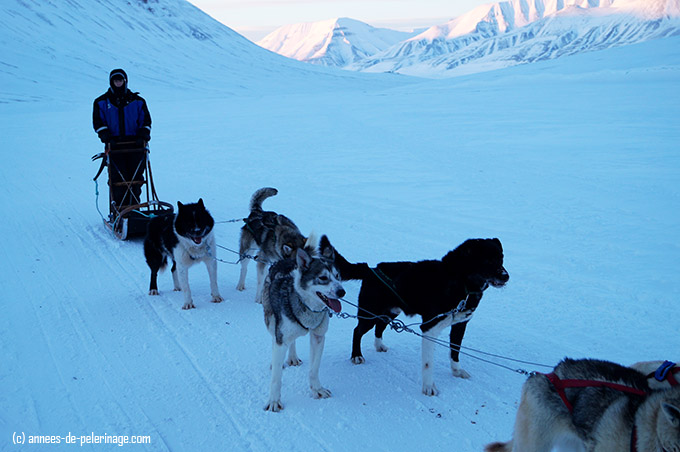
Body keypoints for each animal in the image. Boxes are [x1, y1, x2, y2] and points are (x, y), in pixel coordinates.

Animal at [262, 235, 342, 412]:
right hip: (271, 321)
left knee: (292, 342)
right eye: (323, 278)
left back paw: (292, 357)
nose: (342, 291)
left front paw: (317, 389)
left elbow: (314, 369)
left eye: (338, 276)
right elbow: (276, 378)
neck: (308, 307)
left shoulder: (318, 337)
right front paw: (274, 401)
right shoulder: (281, 338)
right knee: (274, 338)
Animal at [332, 238, 508, 394]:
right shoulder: (429, 328)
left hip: (390, 313)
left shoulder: (460, 325)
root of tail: (372, 269)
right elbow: (428, 363)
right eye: (487, 261)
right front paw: (429, 387)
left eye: (501, 258)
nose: (506, 276)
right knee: (357, 331)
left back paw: (379, 345)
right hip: (369, 314)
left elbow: (455, 352)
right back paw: (356, 355)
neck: (461, 285)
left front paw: (456, 371)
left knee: (379, 327)